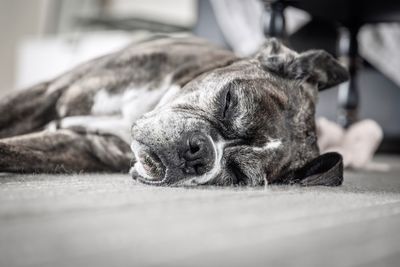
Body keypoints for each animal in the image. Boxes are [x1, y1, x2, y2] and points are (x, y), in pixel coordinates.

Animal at [0, 36, 348, 186]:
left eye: (238, 174)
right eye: (229, 100)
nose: (198, 153)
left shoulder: (82, 147)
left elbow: (11, 152)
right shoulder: (49, 93)